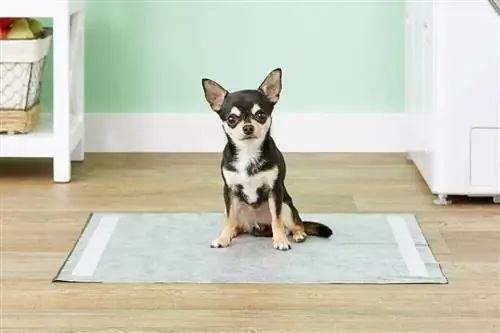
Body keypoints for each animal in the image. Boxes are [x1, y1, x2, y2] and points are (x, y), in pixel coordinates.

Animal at [201, 68, 334, 249]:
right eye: (231, 119)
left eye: (261, 115)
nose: (248, 127)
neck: (248, 153)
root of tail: (256, 227)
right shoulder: (230, 191)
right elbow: (228, 219)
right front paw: (223, 238)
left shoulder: (274, 190)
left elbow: (276, 219)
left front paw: (280, 241)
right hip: (236, 207)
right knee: (237, 223)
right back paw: (233, 232)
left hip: (286, 206)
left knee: (295, 224)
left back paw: (298, 234)